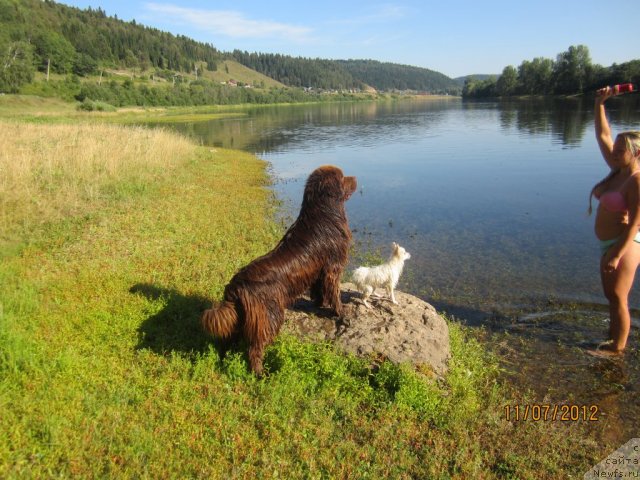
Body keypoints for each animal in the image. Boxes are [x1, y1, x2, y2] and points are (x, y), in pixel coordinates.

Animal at [202, 165, 358, 376]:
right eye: (343, 178)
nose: (355, 178)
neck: (324, 211)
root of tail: (235, 286)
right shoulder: (333, 267)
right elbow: (335, 294)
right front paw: (342, 315)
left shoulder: (319, 271)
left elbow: (319, 291)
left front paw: (319, 304)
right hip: (270, 316)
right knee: (255, 347)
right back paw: (260, 374)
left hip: (241, 318)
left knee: (230, 339)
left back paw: (224, 360)